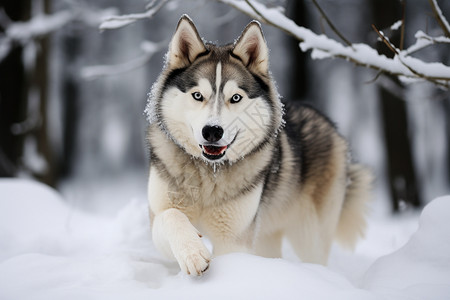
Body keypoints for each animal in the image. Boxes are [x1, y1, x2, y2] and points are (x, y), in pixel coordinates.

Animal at [146, 15, 370, 276]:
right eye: (198, 95)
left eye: (235, 97)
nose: (212, 131)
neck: (208, 174)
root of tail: (330, 124)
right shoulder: (160, 215)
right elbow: (171, 216)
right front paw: (193, 253)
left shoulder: (234, 239)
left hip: (309, 236)